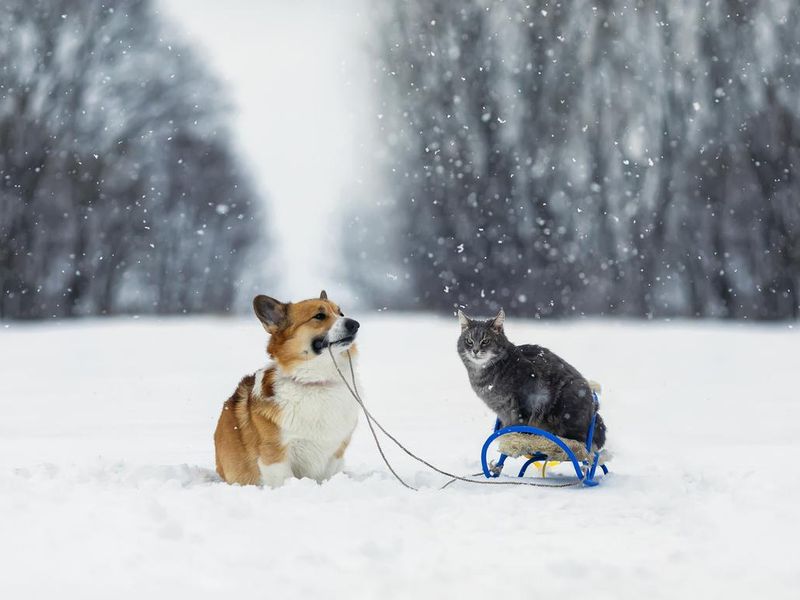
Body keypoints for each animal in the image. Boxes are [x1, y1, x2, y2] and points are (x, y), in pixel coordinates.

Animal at [214, 290, 360, 488]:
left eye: (341, 313)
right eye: (319, 316)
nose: (355, 324)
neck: (316, 381)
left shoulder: (335, 451)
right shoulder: (275, 454)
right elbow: (284, 479)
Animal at [456, 308, 608, 448]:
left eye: (485, 341)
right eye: (469, 341)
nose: (475, 350)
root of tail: (595, 411)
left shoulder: (528, 395)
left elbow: (522, 422)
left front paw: (518, 439)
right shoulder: (502, 409)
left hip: (571, 394)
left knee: (577, 438)